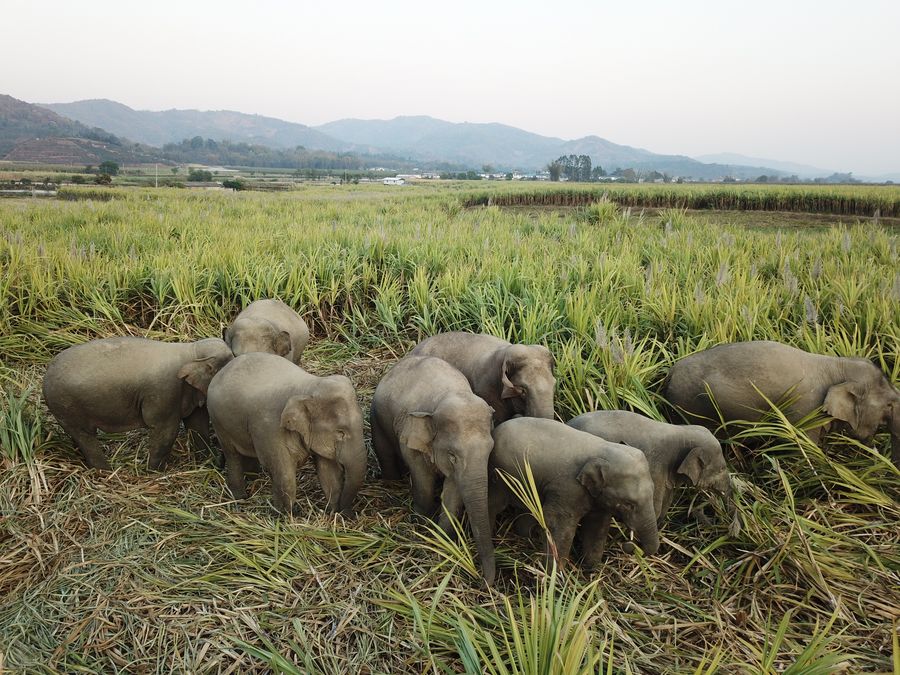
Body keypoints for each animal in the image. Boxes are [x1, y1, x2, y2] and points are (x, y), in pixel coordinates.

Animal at [42, 336, 234, 470]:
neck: (192, 350)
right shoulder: (164, 391)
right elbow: (165, 431)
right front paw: (153, 472)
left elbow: (197, 426)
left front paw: (209, 462)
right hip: (66, 405)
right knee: (85, 436)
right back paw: (105, 471)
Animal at [206, 352, 366, 516]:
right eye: (340, 432)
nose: (350, 514)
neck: (309, 385)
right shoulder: (270, 428)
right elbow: (284, 474)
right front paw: (285, 516)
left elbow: (328, 471)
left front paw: (332, 513)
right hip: (219, 422)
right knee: (233, 456)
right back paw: (240, 498)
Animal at [371, 355, 496, 586]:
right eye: (453, 455)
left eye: (490, 450)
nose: (482, 581)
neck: (447, 395)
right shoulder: (410, 439)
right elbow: (423, 481)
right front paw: (421, 524)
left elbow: (453, 492)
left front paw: (442, 538)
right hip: (377, 418)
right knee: (385, 452)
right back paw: (392, 483)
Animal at [489, 418, 659, 568]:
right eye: (628, 504)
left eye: (653, 492)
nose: (629, 545)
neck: (602, 449)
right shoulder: (567, 489)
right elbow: (556, 523)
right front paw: (556, 575)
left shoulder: (598, 498)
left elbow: (597, 525)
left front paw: (591, 569)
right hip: (499, 477)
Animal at [566, 410, 737, 533]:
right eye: (721, 469)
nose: (730, 529)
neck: (682, 430)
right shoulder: (656, 467)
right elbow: (655, 506)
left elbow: (666, 502)